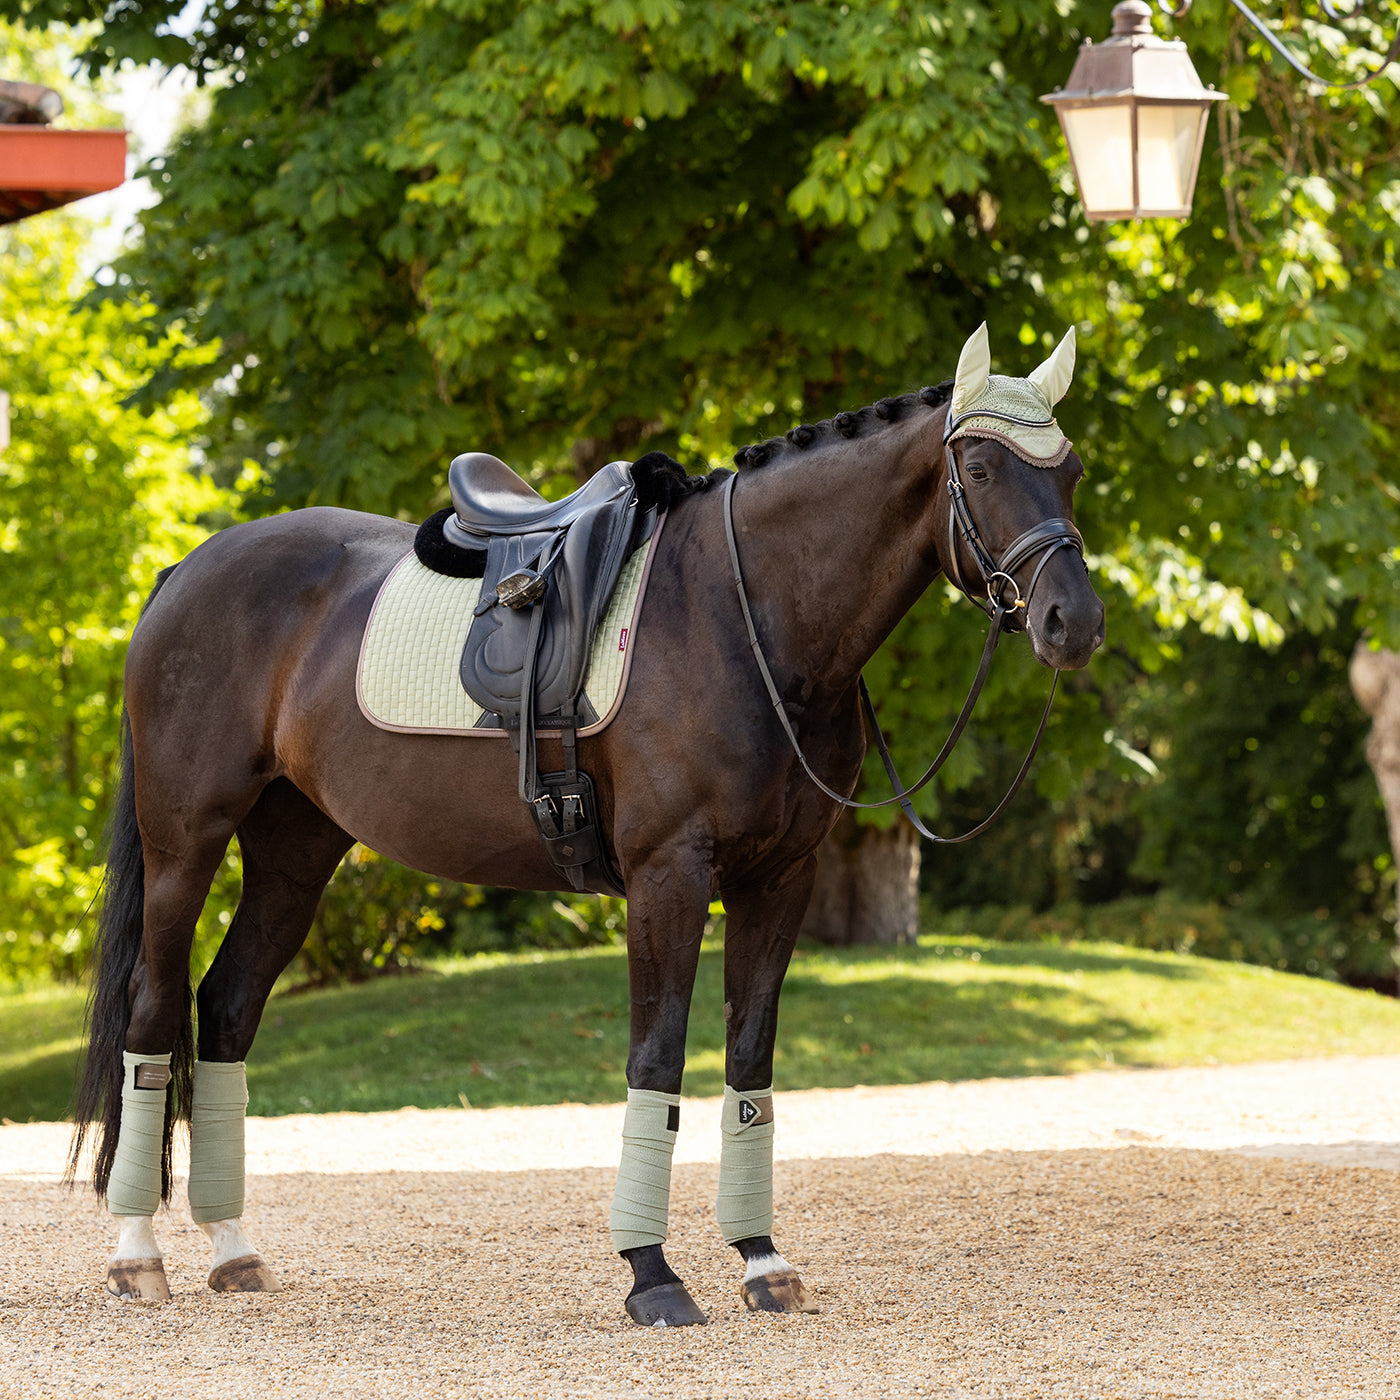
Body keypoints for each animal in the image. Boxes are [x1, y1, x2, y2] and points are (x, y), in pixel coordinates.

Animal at [73, 324, 1103, 1321]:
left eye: (1072, 469)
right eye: (979, 469)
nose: (1074, 622)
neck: (748, 618)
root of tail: (189, 568)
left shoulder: (781, 877)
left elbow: (749, 1061)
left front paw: (761, 1259)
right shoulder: (668, 875)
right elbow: (658, 1058)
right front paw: (652, 1274)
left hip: (295, 854)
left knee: (227, 1007)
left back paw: (233, 1248)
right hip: (184, 845)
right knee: (154, 1011)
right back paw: (135, 1254)